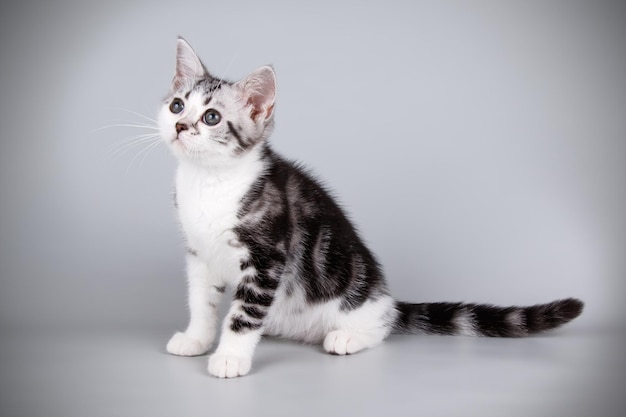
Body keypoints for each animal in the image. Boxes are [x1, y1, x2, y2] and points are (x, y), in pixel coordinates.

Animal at [158, 38, 584, 376]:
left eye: (212, 117)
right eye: (177, 106)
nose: (179, 126)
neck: (209, 181)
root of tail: (386, 298)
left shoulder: (267, 258)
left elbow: (244, 313)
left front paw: (230, 357)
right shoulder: (199, 254)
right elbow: (202, 301)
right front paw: (197, 339)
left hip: (357, 292)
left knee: (382, 323)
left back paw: (348, 336)